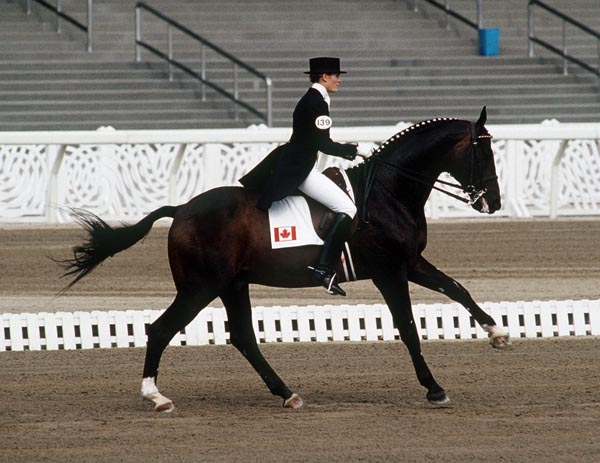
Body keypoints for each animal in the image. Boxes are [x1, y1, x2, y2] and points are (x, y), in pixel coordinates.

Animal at [56, 106, 508, 414]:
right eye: (482, 153)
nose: (494, 202)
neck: (388, 191)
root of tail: (181, 209)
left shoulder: (410, 263)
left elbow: (457, 289)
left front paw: (497, 333)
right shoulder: (389, 272)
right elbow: (409, 328)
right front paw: (434, 388)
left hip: (232, 285)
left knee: (242, 336)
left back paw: (287, 393)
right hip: (201, 286)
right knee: (161, 329)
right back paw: (157, 397)